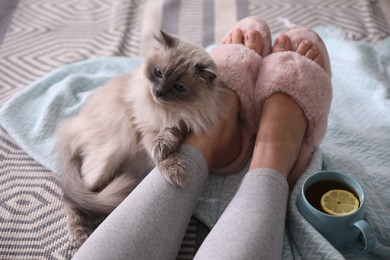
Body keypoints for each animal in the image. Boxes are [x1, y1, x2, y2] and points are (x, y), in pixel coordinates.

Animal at [56, 30, 230, 248]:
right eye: (158, 73)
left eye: (179, 87)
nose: (158, 92)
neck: (171, 110)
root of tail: (71, 128)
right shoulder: (145, 129)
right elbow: (161, 156)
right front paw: (175, 172)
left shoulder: (185, 122)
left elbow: (172, 135)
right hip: (116, 145)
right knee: (74, 197)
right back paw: (79, 235)